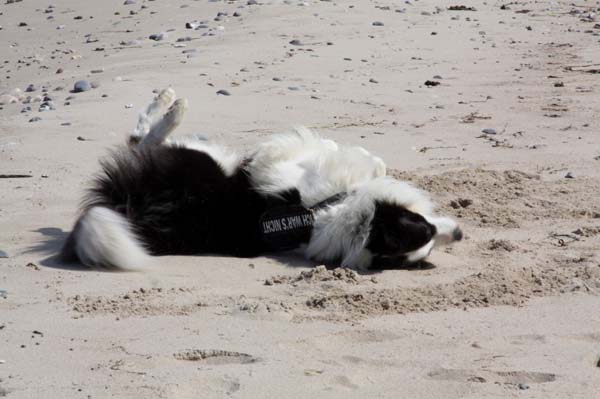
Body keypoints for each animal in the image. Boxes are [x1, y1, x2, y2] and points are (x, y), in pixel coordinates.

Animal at [61, 90, 462, 272]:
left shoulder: (270, 167)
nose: (459, 234)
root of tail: (124, 206)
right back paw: (170, 104)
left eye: (427, 246)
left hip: (198, 161)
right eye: (423, 227)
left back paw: (172, 108)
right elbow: (371, 161)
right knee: (141, 140)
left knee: (145, 141)